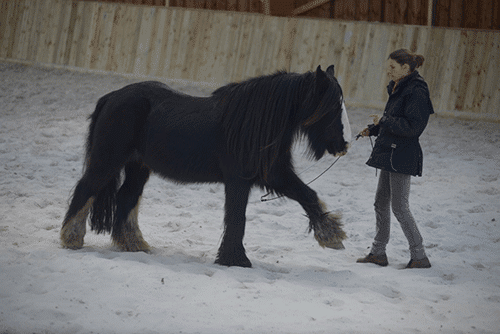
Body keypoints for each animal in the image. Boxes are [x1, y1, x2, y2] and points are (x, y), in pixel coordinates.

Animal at [60, 65, 352, 268]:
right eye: (331, 107)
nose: (344, 144)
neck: (252, 123)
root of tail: (111, 97)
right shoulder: (238, 181)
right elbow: (237, 218)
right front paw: (235, 259)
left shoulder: (275, 175)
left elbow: (308, 195)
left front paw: (331, 235)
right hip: (108, 160)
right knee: (86, 188)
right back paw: (71, 238)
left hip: (137, 166)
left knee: (126, 197)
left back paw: (134, 243)